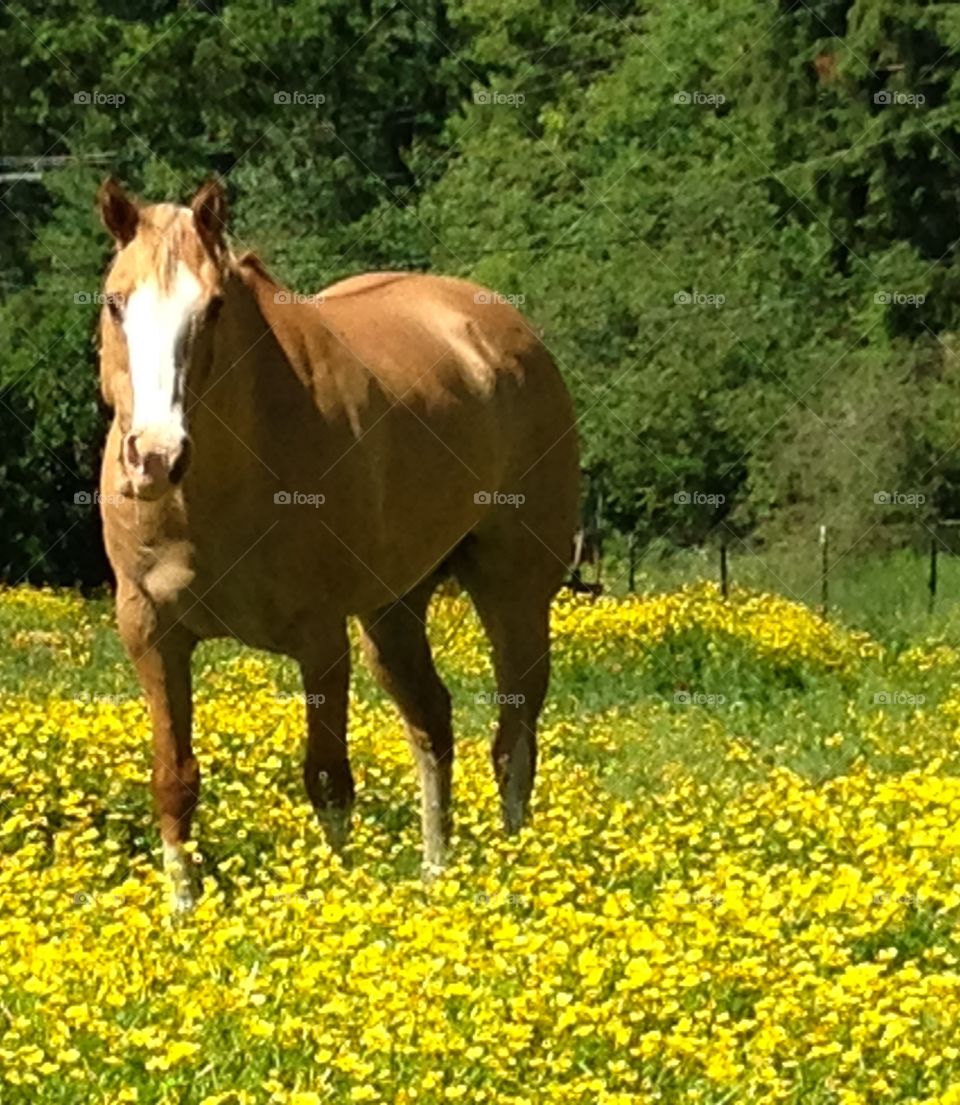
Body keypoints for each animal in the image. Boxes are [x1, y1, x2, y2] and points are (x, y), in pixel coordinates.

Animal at [95, 178, 580, 909]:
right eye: (114, 302)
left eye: (212, 308)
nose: (154, 456)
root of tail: (508, 335)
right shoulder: (151, 632)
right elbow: (174, 779)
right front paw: (183, 914)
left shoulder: (319, 639)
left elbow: (327, 780)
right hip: (394, 609)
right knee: (432, 724)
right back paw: (436, 872)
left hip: (514, 593)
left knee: (513, 741)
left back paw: (517, 869)